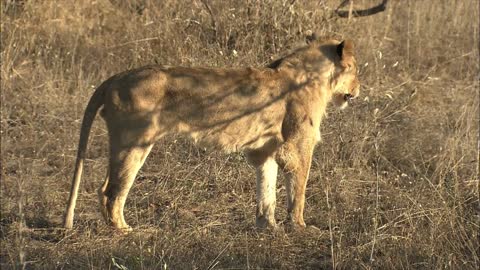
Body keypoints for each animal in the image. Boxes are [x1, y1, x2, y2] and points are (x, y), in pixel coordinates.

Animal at [64, 34, 360, 231]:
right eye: (356, 69)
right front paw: (300, 227)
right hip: (134, 141)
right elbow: (298, 189)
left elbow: (267, 190)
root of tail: (116, 77)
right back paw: (124, 230)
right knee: (111, 190)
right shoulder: (297, 146)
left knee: (106, 187)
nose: (358, 89)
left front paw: (268, 227)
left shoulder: (265, 148)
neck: (317, 77)